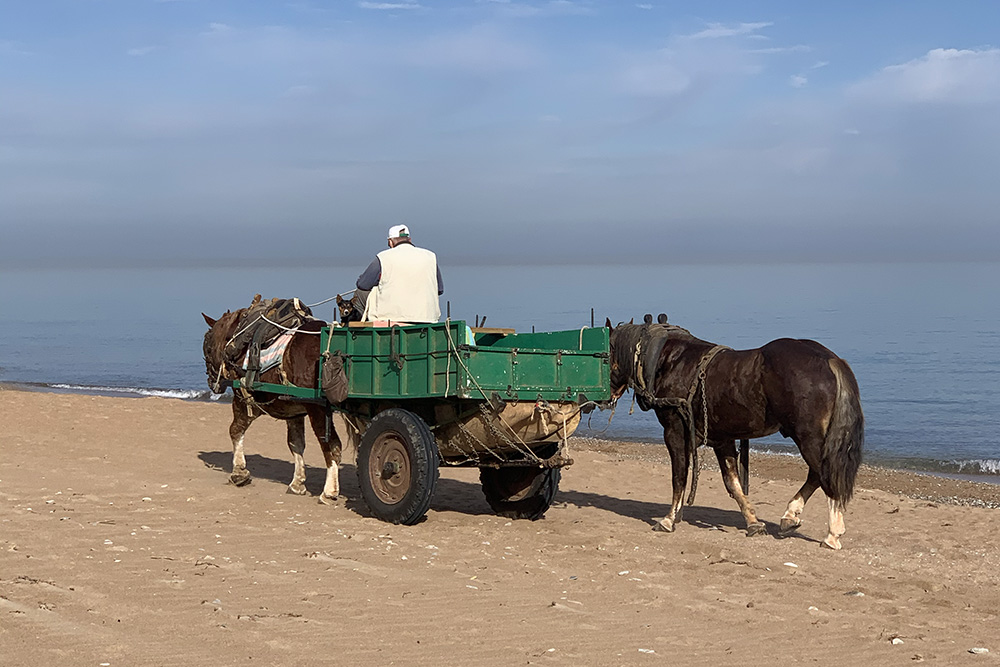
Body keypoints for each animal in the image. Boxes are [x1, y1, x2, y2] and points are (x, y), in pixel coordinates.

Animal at [199, 306, 348, 504]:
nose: (210, 381)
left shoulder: (245, 400)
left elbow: (235, 430)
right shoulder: (293, 411)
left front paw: (239, 472)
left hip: (319, 409)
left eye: (207, 347)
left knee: (331, 445)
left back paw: (329, 491)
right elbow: (295, 443)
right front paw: (297, 482)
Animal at [604, 316, 864, 552]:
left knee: (824, 475)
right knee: (816, 475)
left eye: (604, 355)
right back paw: (791, 516)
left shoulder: (674, 431)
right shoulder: (723, 439)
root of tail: (829, 359)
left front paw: (668, 519)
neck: (671, 361)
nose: (605, 397)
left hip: (808, 438)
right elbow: (732, 482)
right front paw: (753, 522)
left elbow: (679, 476)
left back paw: (831, 533)